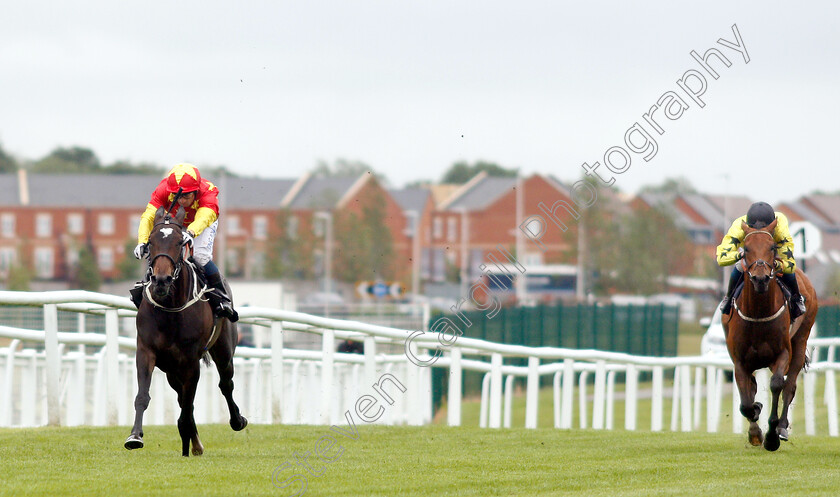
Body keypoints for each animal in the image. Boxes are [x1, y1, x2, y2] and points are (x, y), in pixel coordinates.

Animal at [124, 206, 248, 458]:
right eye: (150, 242)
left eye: (180, 242)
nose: (161, 280)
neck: (170, 308)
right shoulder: (146, 351)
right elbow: (143, 396)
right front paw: (135, 436)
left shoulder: (191, 359)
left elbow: (189, 402)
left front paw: (188, 438)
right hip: (171, 369)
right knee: (183, 397)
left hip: (224, 350)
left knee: (225, 384)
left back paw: (236, 421)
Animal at [724, 219, 816, 452]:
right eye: (746, 248)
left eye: (773, 248)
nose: (760, 278)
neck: (758, 313)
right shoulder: (740, 361)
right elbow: (746, 400)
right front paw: (755, 430)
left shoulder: (782, 353)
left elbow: (777, 385)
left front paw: (772, 435)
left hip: (801, 339)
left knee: (789, 385)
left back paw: (782, 428)